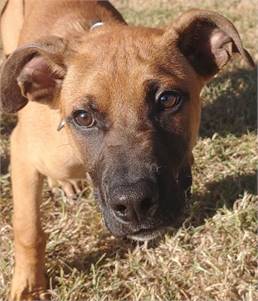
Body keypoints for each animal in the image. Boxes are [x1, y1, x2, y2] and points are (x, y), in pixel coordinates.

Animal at [0, 0, 254, 300]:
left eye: (168, 100)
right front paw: (28, 286)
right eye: (83, 117)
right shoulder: (22, 152)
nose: (134, 205)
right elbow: (27, 229)